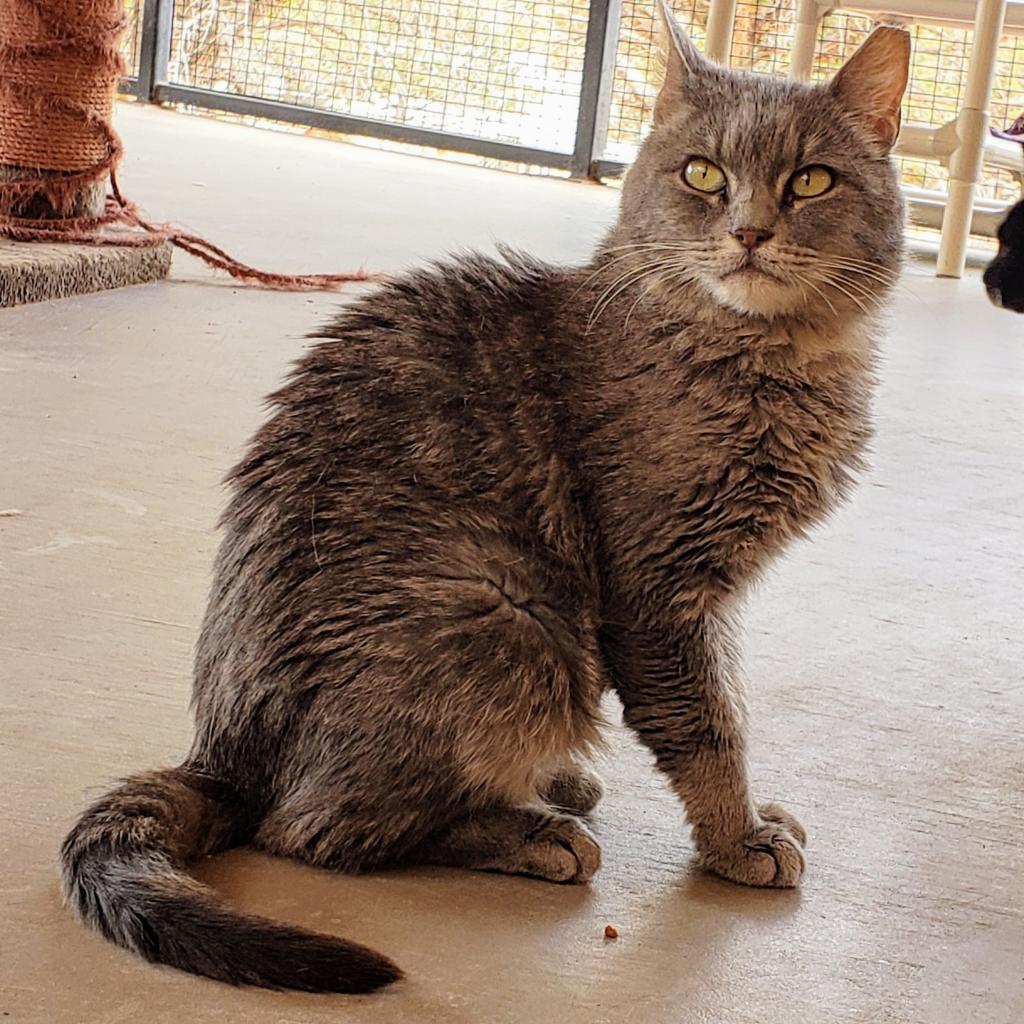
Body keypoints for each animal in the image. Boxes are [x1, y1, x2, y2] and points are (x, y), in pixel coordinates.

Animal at [61, 8, 913, 995]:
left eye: (811, 180)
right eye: (704, 175)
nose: (748, 232)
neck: (768, 360)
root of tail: (222, 754)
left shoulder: (710, 595)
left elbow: (724, 700)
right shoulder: (659, 593)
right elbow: (708, 723)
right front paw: (738, 838)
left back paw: (546, 786)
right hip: (511, 623)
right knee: (310, 829)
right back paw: (531, 830)